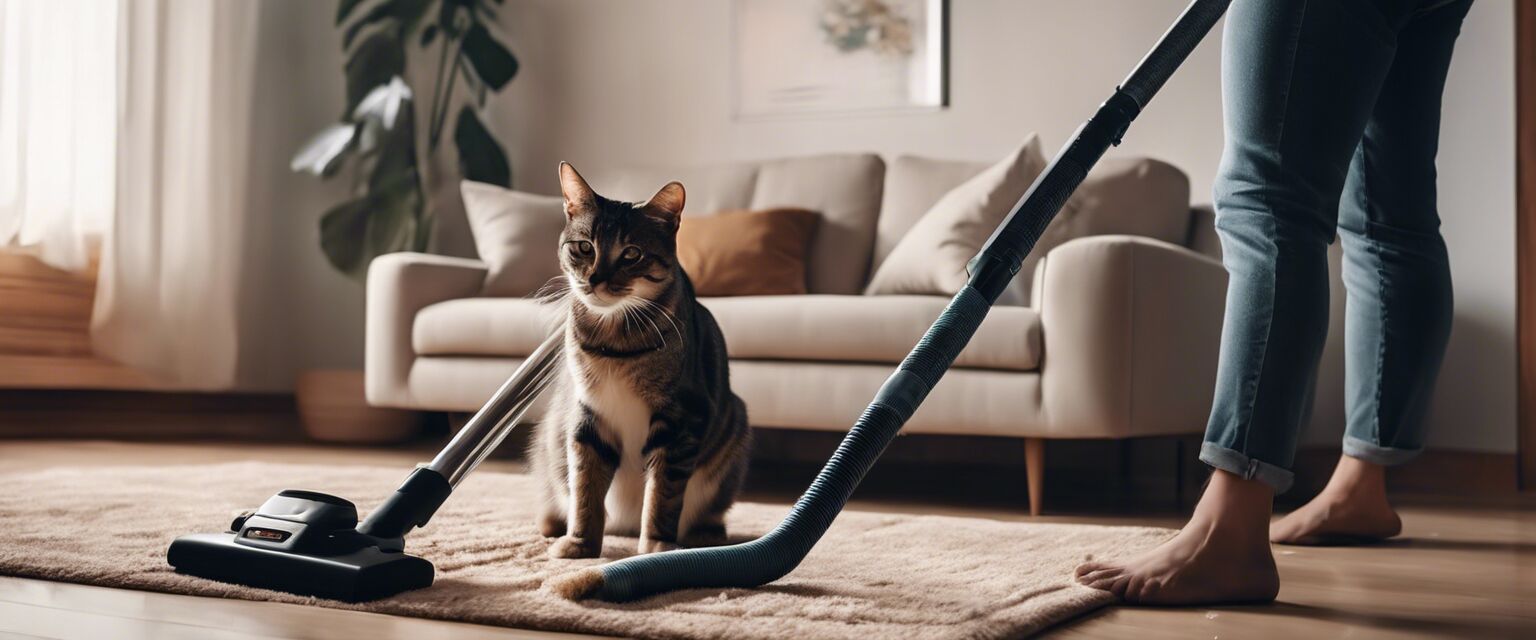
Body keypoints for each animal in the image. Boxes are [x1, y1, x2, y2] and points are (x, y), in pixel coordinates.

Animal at [531, 161, 752, 555]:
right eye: (584, 247)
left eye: (631, 253)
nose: (595, 279)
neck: (615, 343)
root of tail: (625, 524)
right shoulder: (589, 417)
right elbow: (586, 488)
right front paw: (580, 545)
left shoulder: (681, 420)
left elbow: (663, 495)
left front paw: (657, 549)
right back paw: (553, 525)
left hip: (734, 432)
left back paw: (704, 535)